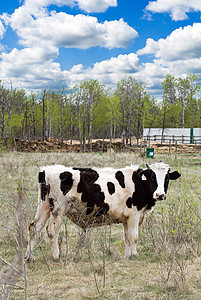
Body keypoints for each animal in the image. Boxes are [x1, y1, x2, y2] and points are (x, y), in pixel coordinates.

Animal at [25, 162, 181, 262]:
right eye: (153, 177)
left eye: (167, 178)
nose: (160, 195)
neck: (139, 183)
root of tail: (47, 169)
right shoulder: (134, 214)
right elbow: (134, 237)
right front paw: (134, 255)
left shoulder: (126, 218)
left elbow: (127, 237)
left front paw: (127, 255)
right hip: (58, 209)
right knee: (51, 231)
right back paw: (56, 256)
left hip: (44, 206)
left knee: (34, 228)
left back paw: (29, 257)